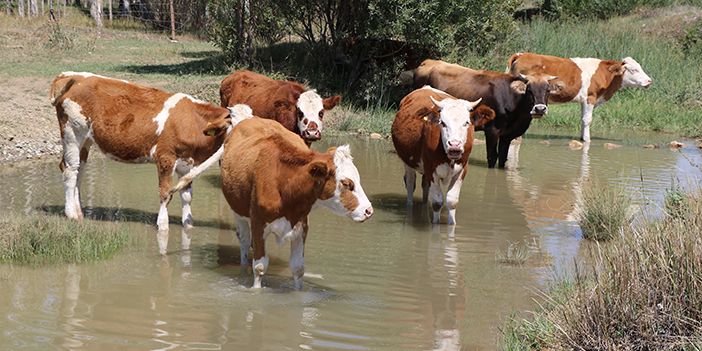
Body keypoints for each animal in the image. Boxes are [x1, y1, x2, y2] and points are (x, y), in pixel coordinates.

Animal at [49, 72, 249, 253]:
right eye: (235, 128)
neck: (192, 123)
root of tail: (71, 76)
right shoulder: (166, 158)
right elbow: (166, 193)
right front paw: (163, 226)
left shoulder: (188, 164)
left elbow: (187, 196)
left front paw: (188, 225)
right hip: (72, 134)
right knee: (69, 170)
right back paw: (71, 214)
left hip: (86, 141)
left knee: (79, 172)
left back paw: (80, 212)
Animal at [394, 86, 498, 224]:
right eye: (442, 122)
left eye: (466, 122)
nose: (454, 144)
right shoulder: (431, 169)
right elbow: (437, 202)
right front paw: (435, 224)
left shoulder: (462, 170)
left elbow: (452, 201)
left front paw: (451, 224)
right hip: (408, 162)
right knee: (410, 183)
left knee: (424, 186)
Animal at [506, 52, 656, 142]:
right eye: (634, 70)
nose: (649, 80)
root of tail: (522, 54)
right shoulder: (590, 98)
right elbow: (587, 120)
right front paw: (587, 140)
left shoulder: (585, 101)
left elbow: (583, 119)